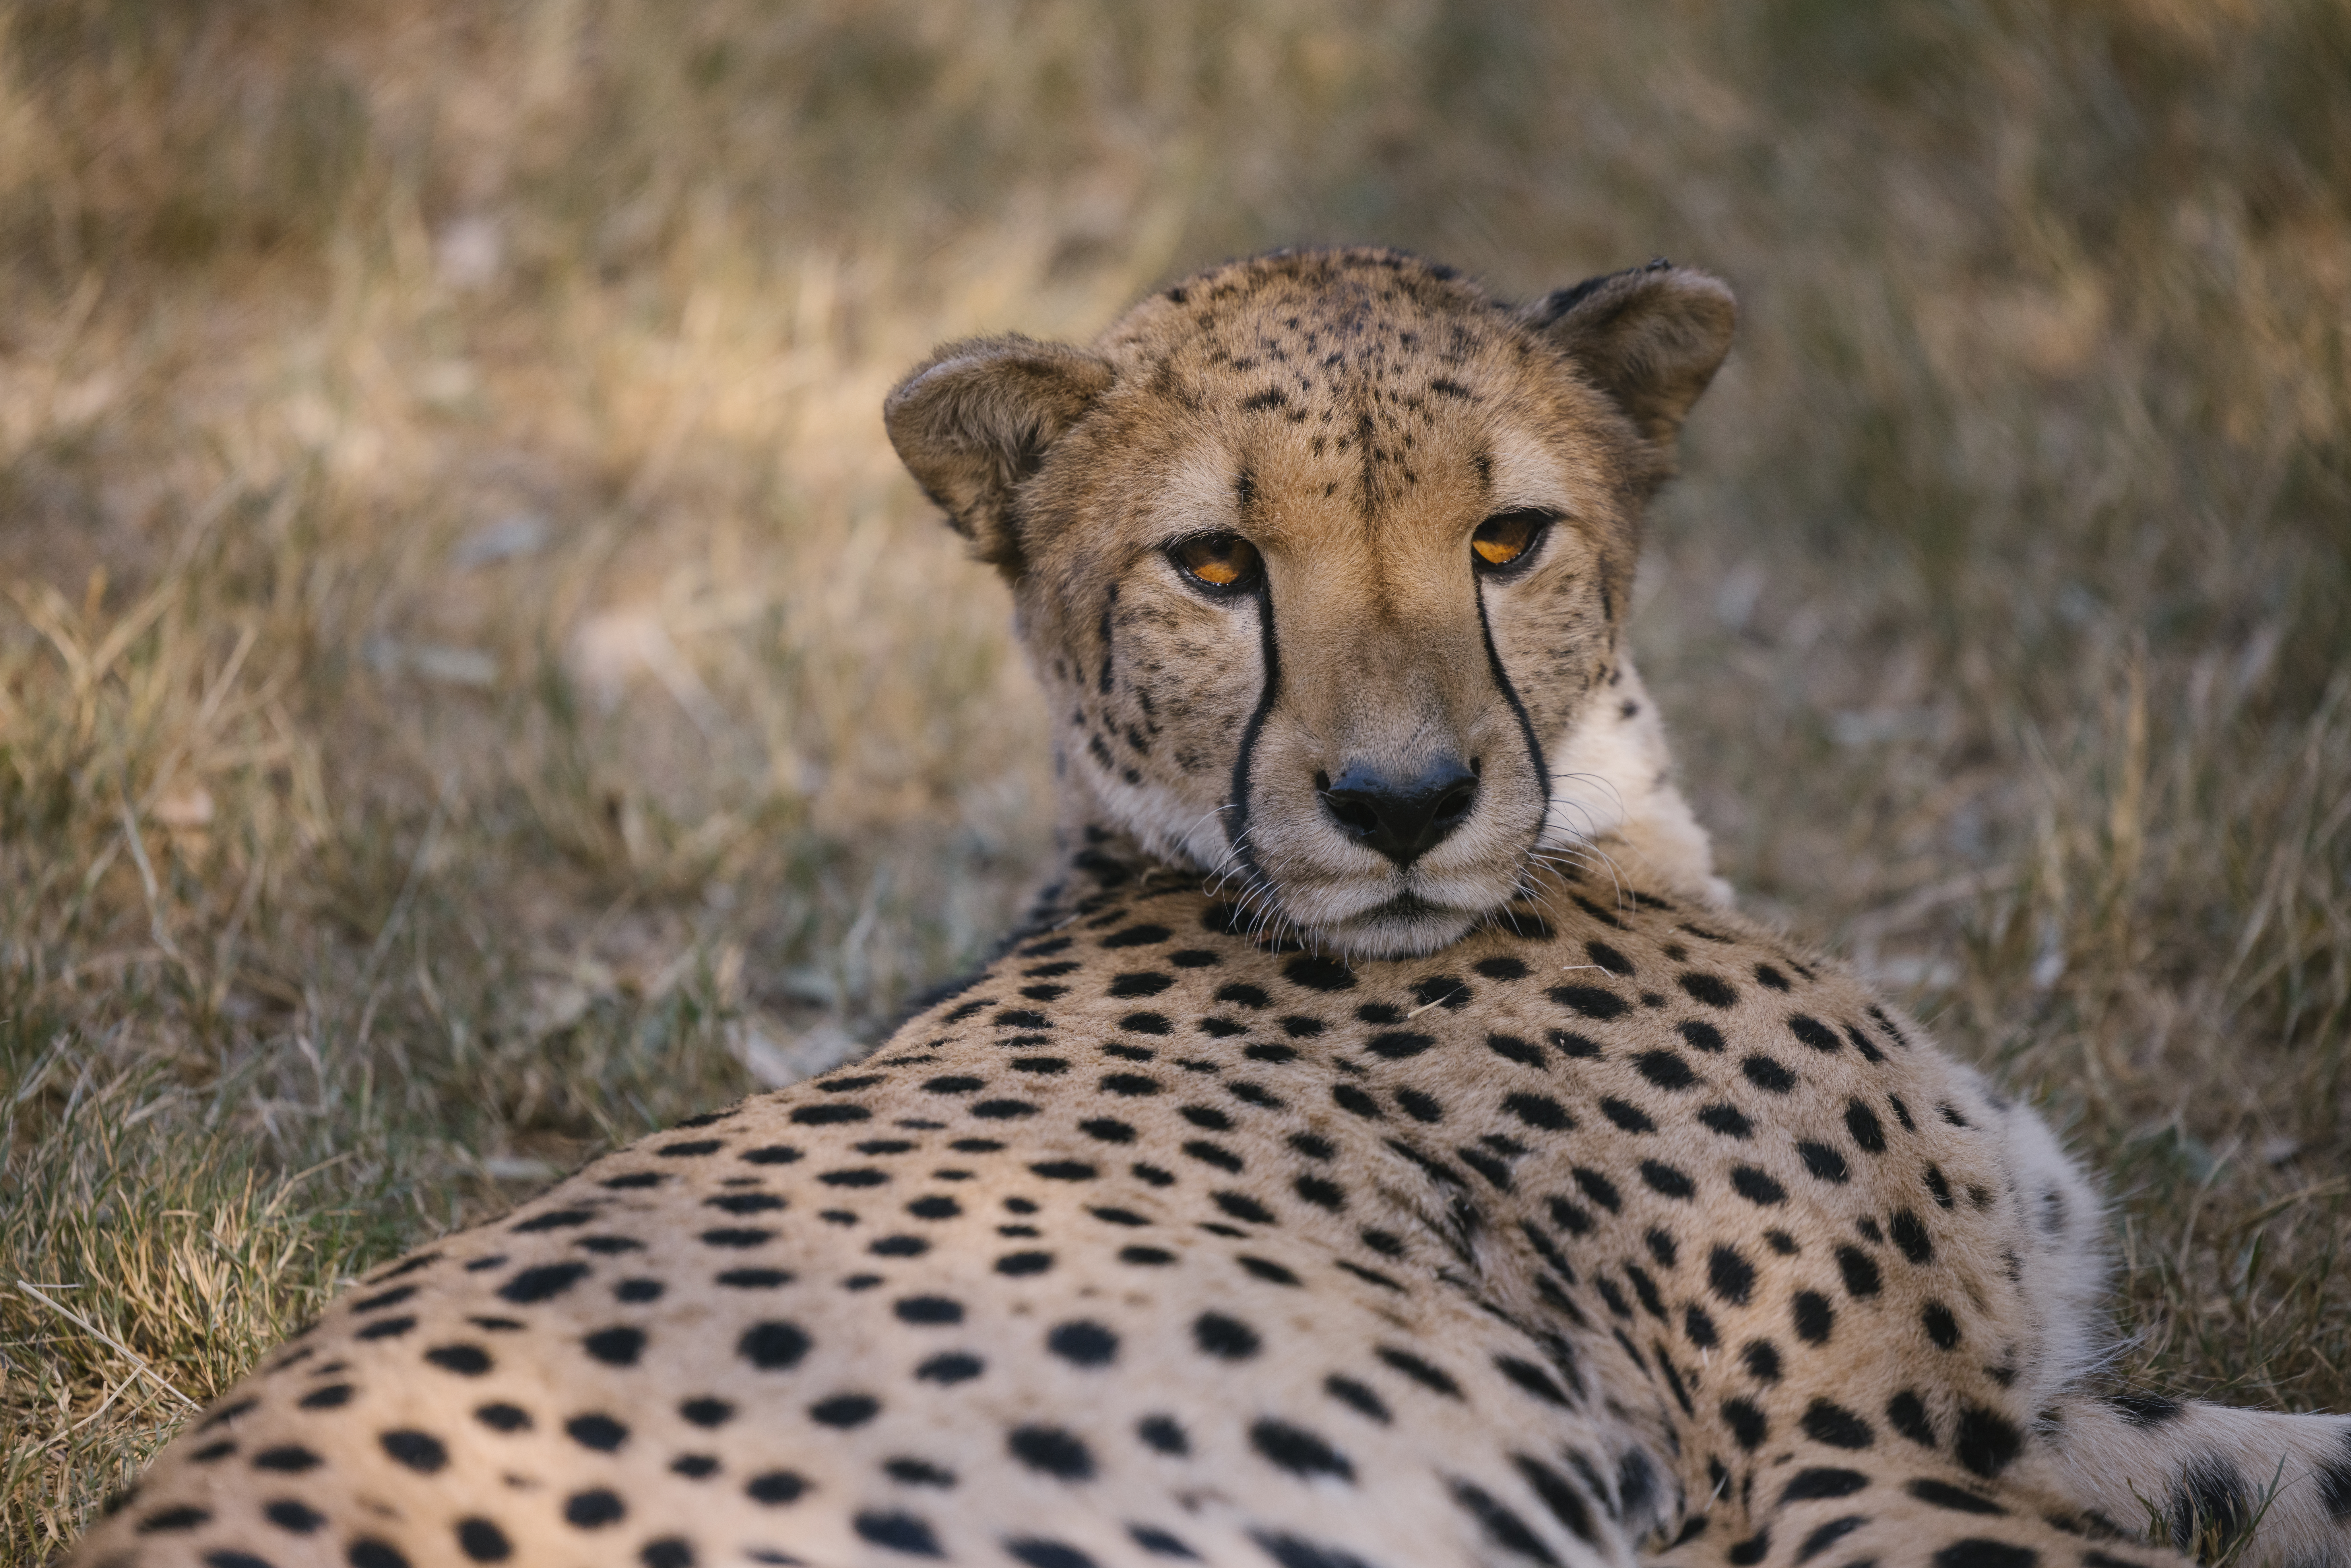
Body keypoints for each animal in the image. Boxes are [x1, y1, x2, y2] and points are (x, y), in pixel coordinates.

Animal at [66, 247, 2351, 1568]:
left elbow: (2290, 1456)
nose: (1402, 803)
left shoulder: (2022, 1420)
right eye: (1216, 568)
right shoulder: (1843, 1476)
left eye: (1509, 539)